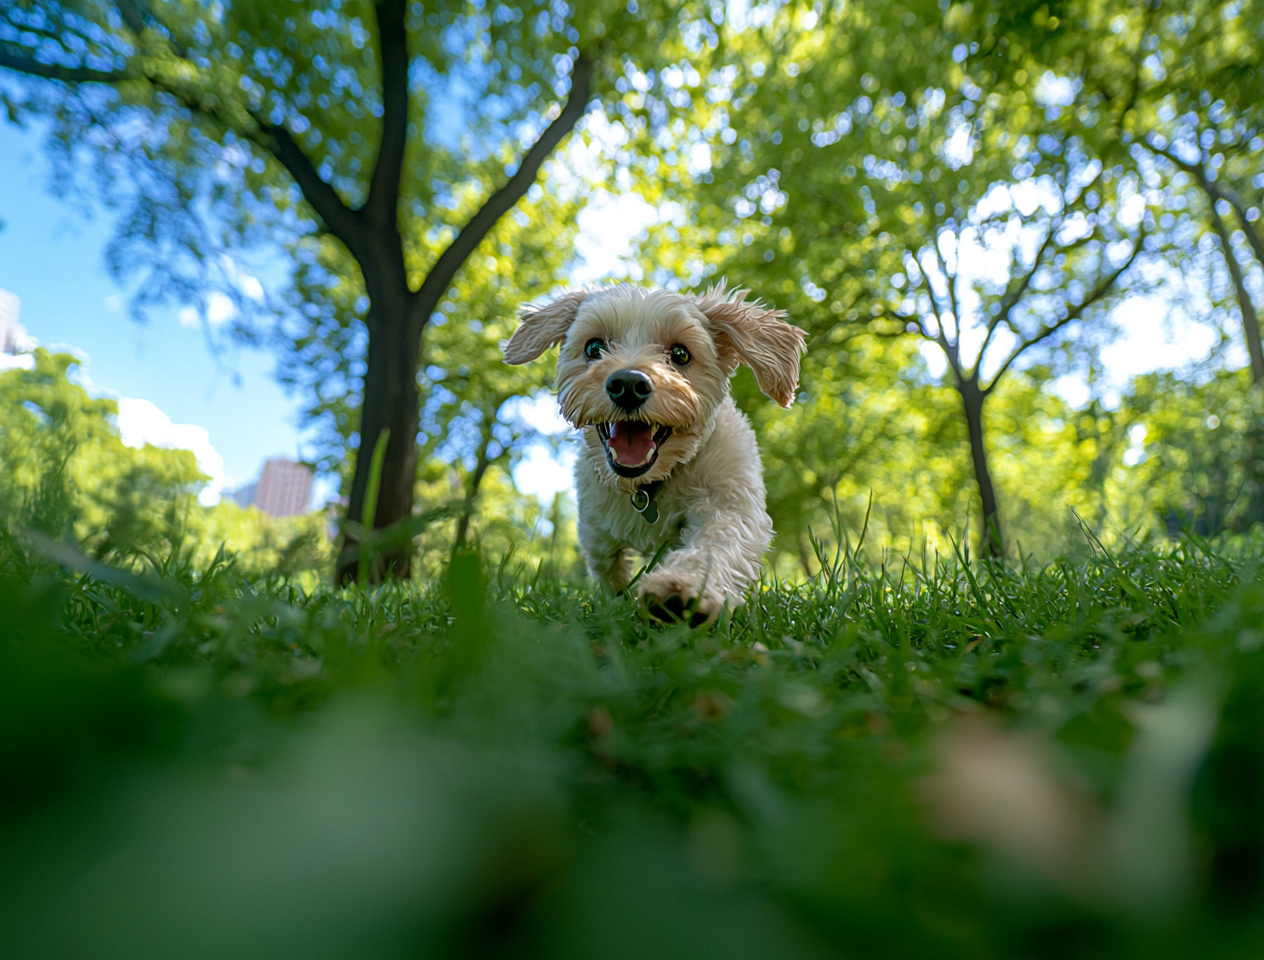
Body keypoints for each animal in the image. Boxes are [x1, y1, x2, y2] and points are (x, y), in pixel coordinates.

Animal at [500, 282, 803, 622]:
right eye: (593, 348)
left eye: (680, 353)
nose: (628, 384)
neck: (648, 486)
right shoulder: (596, 531)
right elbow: (609, 572)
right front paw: (617, 605)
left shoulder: (730, 500)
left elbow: (716, 544)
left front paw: (683, 588)